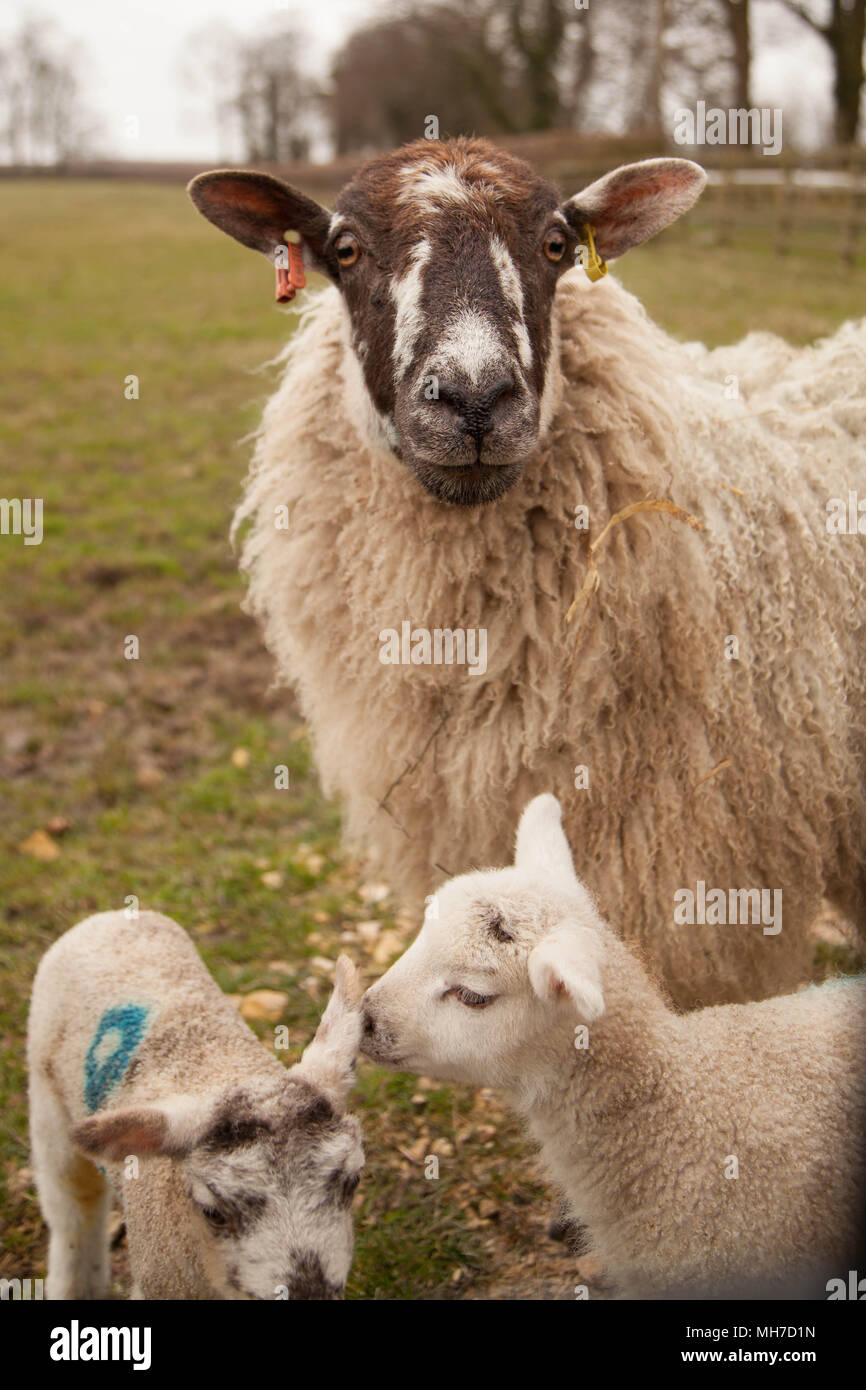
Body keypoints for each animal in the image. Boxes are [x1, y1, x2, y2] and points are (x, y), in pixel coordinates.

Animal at [28, 910, 364, 1300]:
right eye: (212, 1212)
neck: (222, 1072)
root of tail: (110, 916)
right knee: (73, 1209)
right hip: (47, 1104)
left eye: (353, 1181)